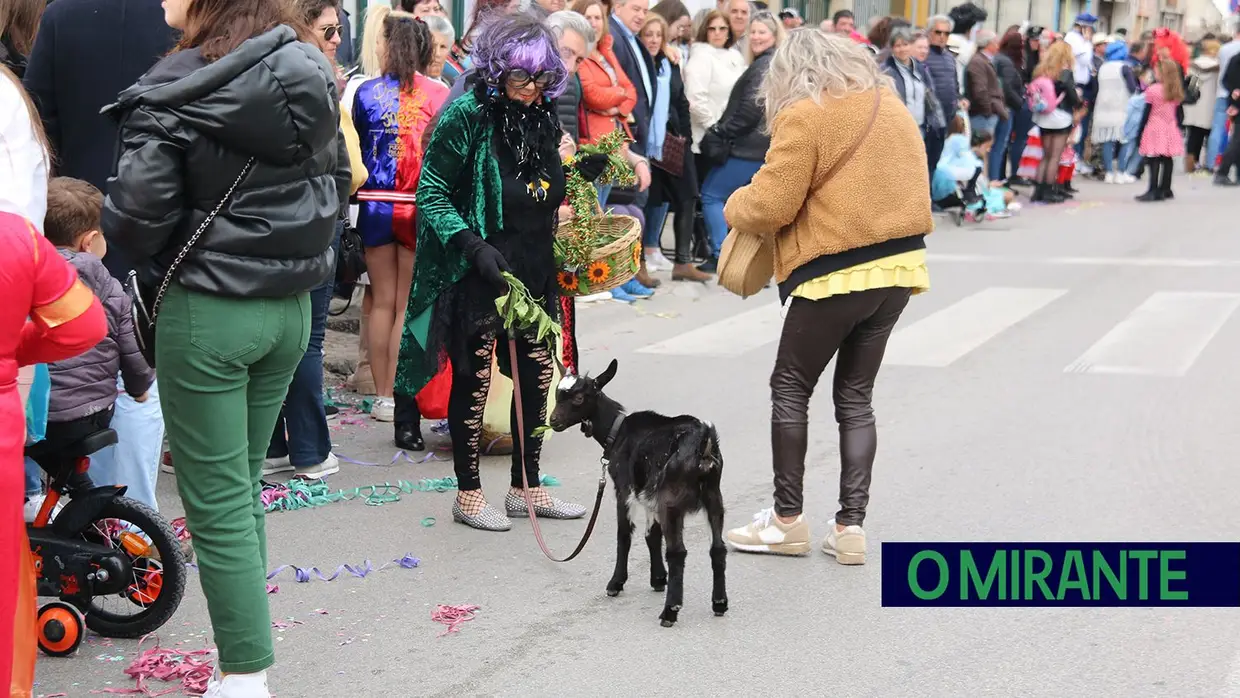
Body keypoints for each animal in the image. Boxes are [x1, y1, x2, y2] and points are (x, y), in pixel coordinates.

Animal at [545, 359, 724, 627]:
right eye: (557, 393)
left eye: (578, 397)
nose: (554, 421)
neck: (617, 432)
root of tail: (703, 442)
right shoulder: (649, 494)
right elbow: (652, 535)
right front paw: (658, 578)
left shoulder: (625, 489)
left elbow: (624, 534)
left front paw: (616, 583)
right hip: (713, 495)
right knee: (718, 547)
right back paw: (720, 603)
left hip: (672, 500)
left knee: (678, 552)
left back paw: (670, 611)